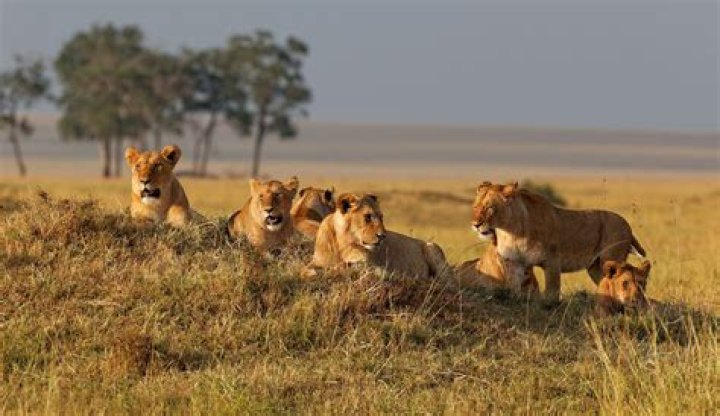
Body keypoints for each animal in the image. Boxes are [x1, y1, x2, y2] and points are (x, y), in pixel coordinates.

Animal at [307, 193, 449, 279]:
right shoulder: (317, 261)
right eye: (367, 217)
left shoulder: (370, 266)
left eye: (381, 217)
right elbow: (307, 269)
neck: (341, 243)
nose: (383, 236)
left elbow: (346, 267)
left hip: (432, 247)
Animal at [472, 181, 646, 303]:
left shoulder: (552, 260)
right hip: (595, 268)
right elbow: (513, 286)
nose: (475, 224)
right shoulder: (514, 262)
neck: (511, 232)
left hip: (610, 259)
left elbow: (552, 290)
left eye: (489, 208)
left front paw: (549, 305)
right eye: (475, 207)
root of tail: (628, 225)